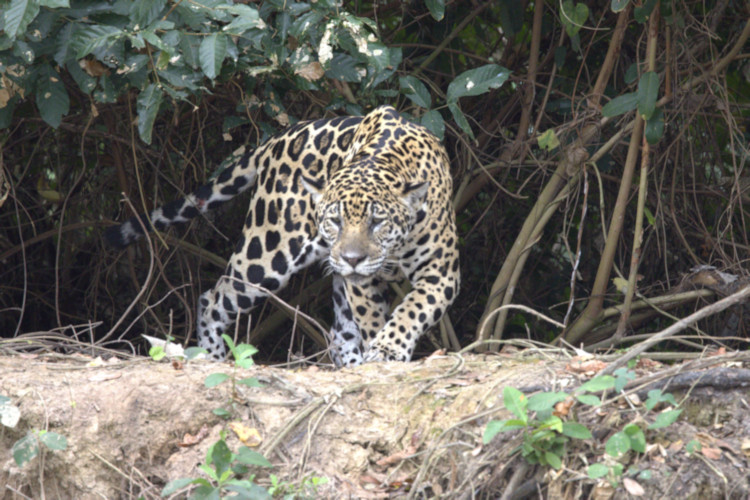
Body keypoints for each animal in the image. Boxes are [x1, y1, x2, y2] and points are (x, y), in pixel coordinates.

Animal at [106, 105, 460, 367]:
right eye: (335, 220)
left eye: (377, 221)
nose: (352, 259)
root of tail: (276, 139)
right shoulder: (360, 284)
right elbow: (373, 317)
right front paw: (382, 351)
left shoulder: (441, 272)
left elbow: (413, 308)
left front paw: (386, 349)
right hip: (265, 255)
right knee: (212, 299)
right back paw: (213, 356)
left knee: (339, 333)